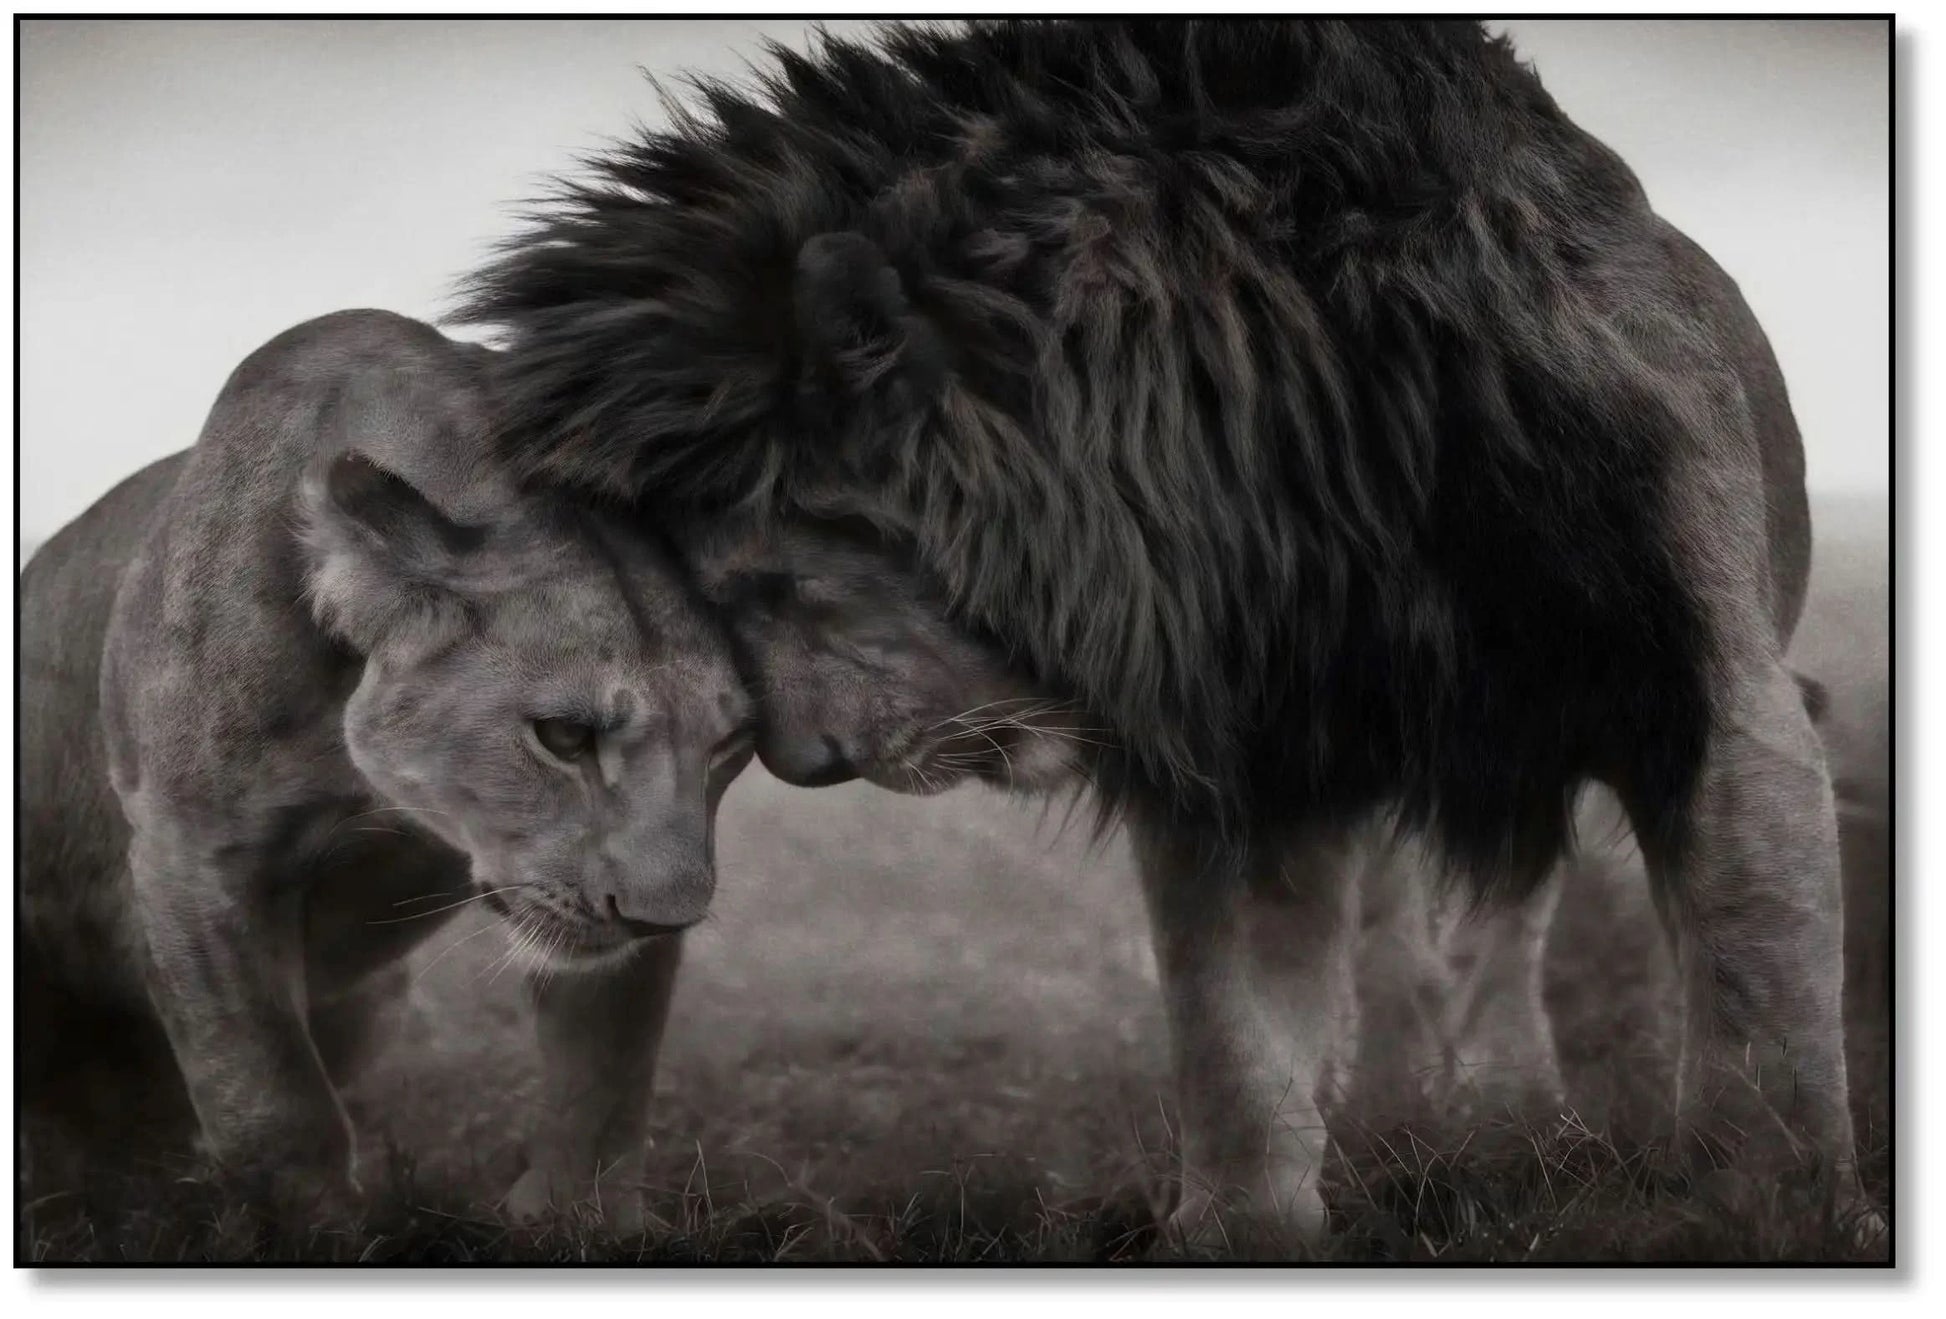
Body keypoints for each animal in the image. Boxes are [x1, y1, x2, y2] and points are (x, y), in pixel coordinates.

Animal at [18, 310, 753, 1225]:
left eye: (729, 745)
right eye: (563, 735)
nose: (664, 919)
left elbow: (606, 1074)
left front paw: (577, 1217)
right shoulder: (191, 850)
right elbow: (269, 1094)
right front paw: (309, 1226)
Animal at [459, 21, 1870, 1245]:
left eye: (769, 585)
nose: (806, 765)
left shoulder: (1705, 690)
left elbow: (1756, 1002)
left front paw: (1767, 1219)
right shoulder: (1249, 746)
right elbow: (1236, 1030)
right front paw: (1241, 1229)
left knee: (1511, 920)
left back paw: (1510, 1105)